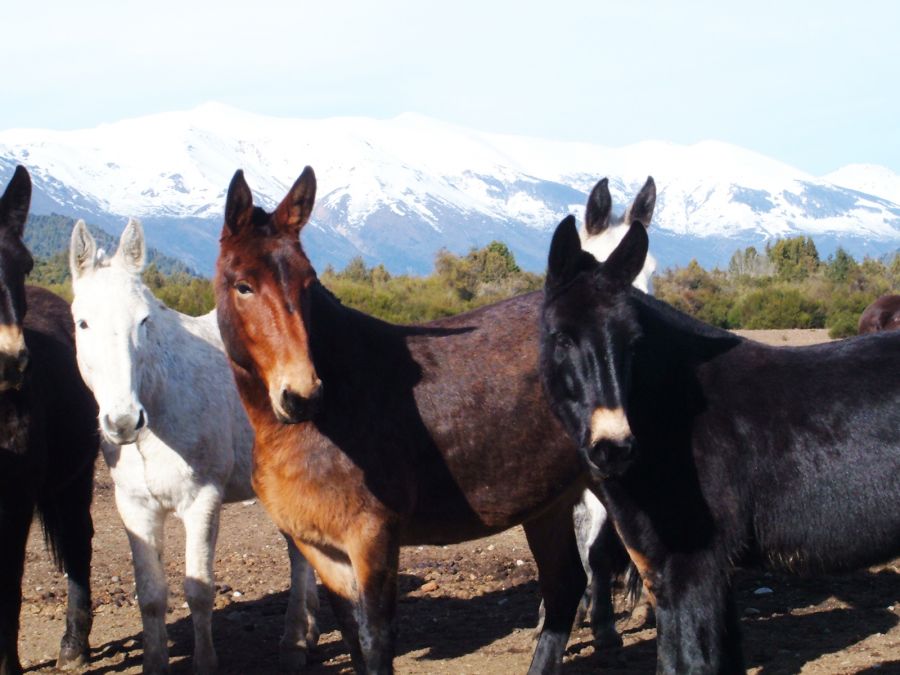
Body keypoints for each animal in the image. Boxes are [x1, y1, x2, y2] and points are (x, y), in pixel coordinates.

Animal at [68, 219, 318, 672]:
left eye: (144, 320)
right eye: (83, 323)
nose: (123, 421)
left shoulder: (202, 500)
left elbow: (198, 590)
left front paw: (204, 663)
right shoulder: (135, 507)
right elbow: (151, 596)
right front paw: (155, 663)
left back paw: (294, 640)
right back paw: (306, 631)